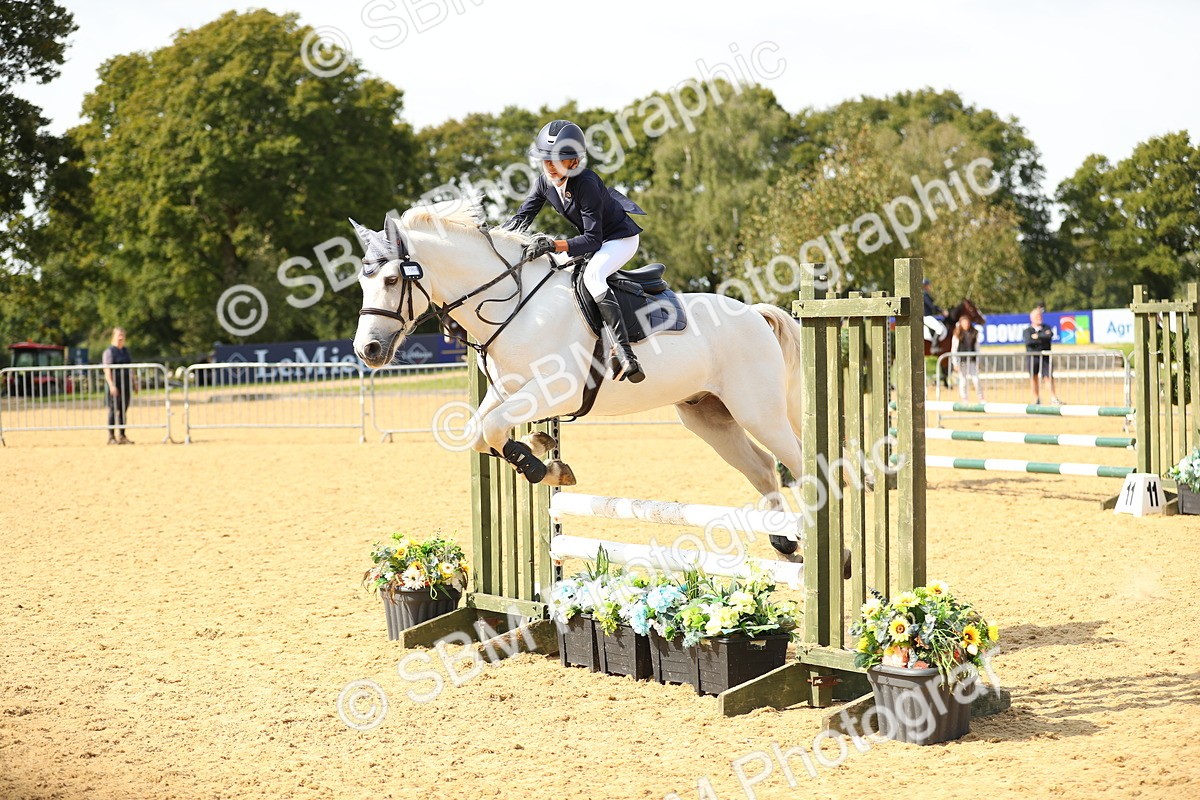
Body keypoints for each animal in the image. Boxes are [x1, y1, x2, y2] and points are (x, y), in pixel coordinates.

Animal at [351, 200, 810, 555]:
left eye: (391, 279)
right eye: (362, 281)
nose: (366, 350)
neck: (512, 306)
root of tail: (754, 313)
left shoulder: (559, 391)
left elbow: (493, 429)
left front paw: (542, 465)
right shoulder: (508, 392)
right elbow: (480, 432)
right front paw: (541, 449)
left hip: (757, 411)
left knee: (801, 462)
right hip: (708, 416)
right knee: (764, 468)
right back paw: (785, 544)